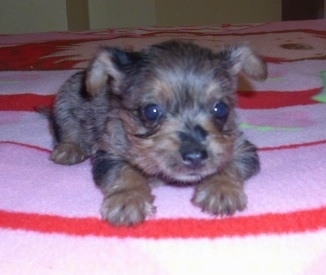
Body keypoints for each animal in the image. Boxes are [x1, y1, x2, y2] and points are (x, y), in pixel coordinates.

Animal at [51, 40, 266, 226]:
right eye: (151, 111)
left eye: (220, 109)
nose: (195, 156)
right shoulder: (109, 152)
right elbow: (124, 172)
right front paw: (128, 199)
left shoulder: (242, 148)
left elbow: (227, 164)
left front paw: (220, 189)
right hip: (65, 101)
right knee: (68, 130)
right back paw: (69, 150)